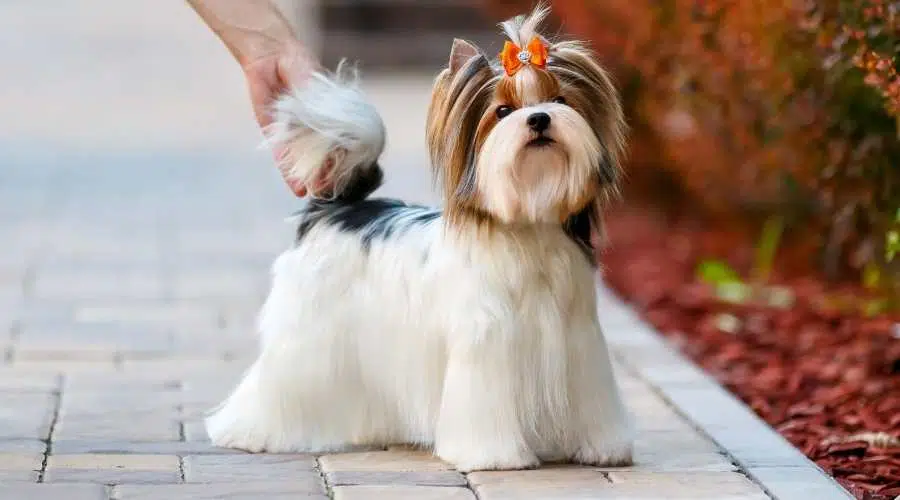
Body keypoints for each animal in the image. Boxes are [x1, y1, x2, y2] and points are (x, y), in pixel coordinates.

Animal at [207, 5, 636, 470]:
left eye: (560, 101)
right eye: (503, 111)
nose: (539, 118)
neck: (528, 222)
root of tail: (335, 207)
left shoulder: (579, 342)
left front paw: (601, 447)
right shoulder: (485, 343)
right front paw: (494, 456)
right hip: (309, 333)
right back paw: (249, 432)